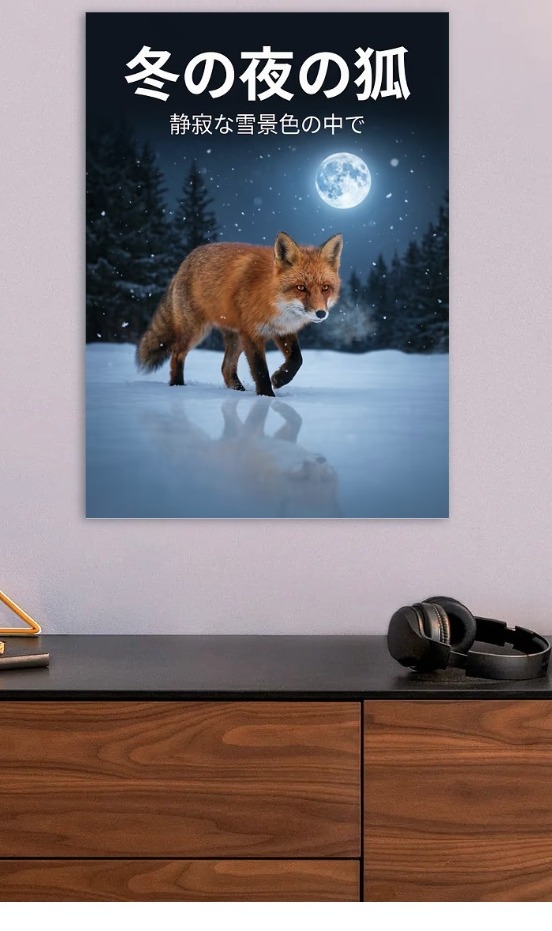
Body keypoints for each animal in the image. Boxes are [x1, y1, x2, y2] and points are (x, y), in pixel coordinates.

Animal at [136, 230, 343, 397]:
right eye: (301, 288)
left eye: (325, 288)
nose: (321, 313)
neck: (273, 299)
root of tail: (184, 262)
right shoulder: (252, 333)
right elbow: (260, 371)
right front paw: (266, 398)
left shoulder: (282, 330)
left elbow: (297, 359)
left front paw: (279, 379)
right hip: (196, 332)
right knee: (177, 355)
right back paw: (177, 386)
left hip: (235, 339)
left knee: (225, 368)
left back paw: (237, 392)